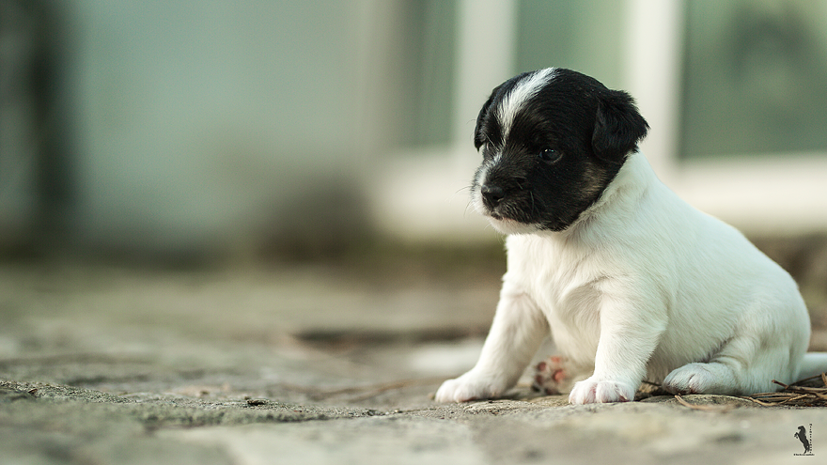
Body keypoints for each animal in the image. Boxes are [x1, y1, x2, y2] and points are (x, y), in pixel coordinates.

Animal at [436, 68, 824, 402]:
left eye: (548, 152)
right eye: (489, 144)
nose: (490, 192)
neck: (566, 233)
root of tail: (798, 359)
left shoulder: (628, 297)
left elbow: (616, 343)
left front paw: (604, 383)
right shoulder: (520, 299)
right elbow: (500, 347)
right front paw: (475, 381)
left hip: (761, 326)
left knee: (744, 373)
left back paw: (697, 374)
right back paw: (562, 374)